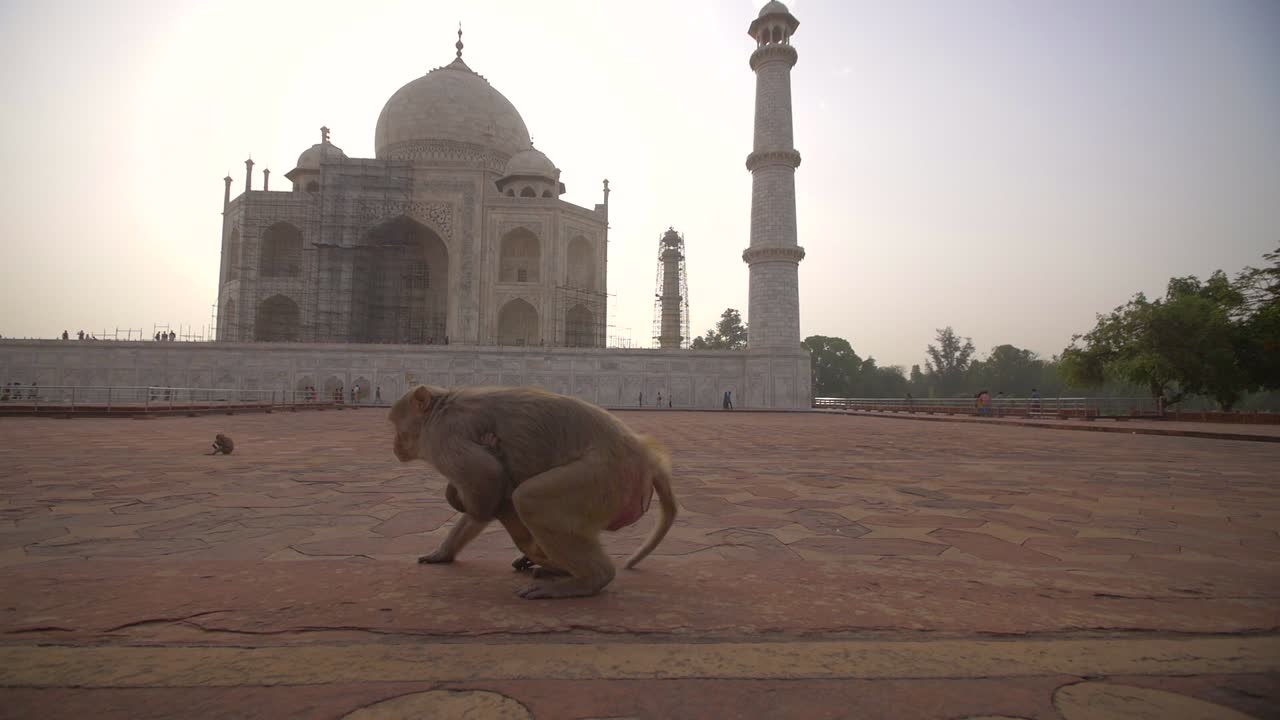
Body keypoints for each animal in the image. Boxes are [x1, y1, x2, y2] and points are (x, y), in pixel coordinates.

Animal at [389, 384, 677, 599]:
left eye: (394, 423)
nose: (394, 446)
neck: (438, 411)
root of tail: (648, 457)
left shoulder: (443, 437)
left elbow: (487, 480)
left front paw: (459, 498)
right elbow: (487, 496)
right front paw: (442, 553)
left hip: (605, 478)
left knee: (528, 499)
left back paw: (586, 580)